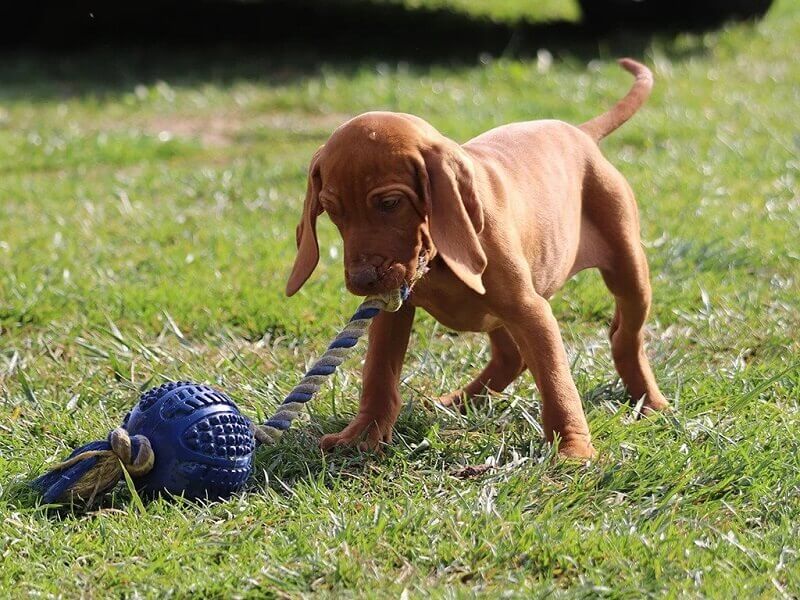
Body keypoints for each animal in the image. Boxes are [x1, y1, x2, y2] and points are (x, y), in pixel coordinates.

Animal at [288, 58, 668, 458]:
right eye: (332, 211)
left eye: (390, 203)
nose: (362, 281)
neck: (438, 261)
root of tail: (578, 132)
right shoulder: (393, 313)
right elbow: (378, 374)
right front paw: (363, 433)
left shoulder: (530, 311)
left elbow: (556, 382)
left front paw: (572, 448)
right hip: (498, 313)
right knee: (511, 357)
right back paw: (459, 401)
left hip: (628, 267)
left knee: (624, 335)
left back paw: (650, 400)